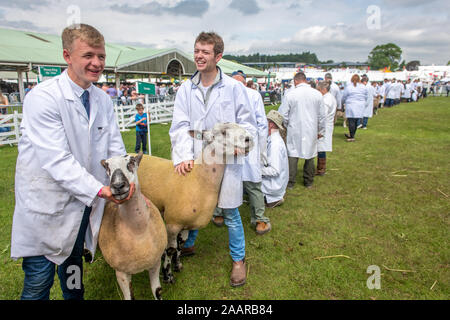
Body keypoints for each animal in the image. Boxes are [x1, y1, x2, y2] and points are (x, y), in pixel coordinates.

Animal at [99, 152, 168, 300]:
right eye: (107, 168)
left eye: (131, 163)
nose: (118, 186)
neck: (138, 230)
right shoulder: (121, 273)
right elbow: (129, 297)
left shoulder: (155, 262)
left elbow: (157, 291)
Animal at [137, 122, 253, 282]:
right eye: (223, 132)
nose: (249, 139)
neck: (197, 179)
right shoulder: (172, 223)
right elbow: (170, 249)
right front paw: (168, 275)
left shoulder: (186, 225)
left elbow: (180, 245)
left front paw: (178, 265)